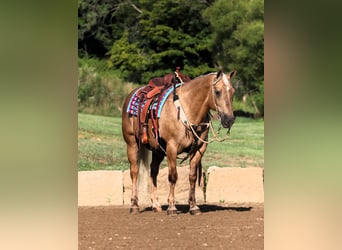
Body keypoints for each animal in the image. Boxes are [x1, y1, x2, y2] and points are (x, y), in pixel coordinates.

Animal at [121, 69, 235, 214]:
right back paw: (134, 205)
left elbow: (192, 176)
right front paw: (172, 207)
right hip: (132, 143)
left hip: (158, 150)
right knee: (134, 172)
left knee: (153, 171)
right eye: (218, 91)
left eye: (233, 92)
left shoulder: (199, 149)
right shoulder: (172, 147)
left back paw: (156, 204)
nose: (229, 119)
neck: (188, 109)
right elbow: (173, 176)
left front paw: (193, 206)